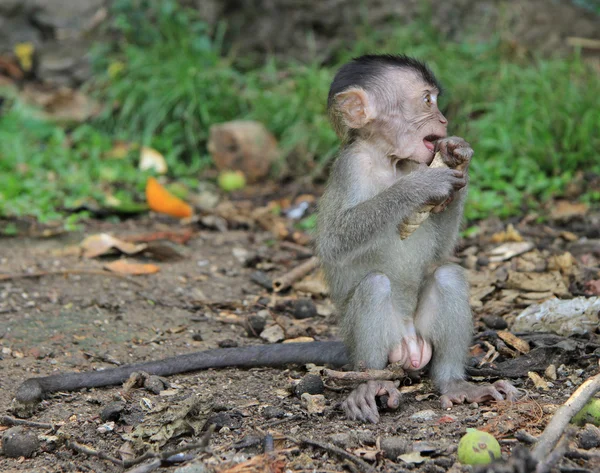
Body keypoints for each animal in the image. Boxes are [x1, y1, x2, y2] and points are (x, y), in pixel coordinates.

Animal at [316, 53, 516, 422]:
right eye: (426, 100)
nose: (444, 119)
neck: (388, 160)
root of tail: (409, 342)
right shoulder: (351, 167)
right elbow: (335, 242)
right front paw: (419, 187)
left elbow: (440, 251)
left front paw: (458, 157)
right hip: (371, 341)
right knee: (374, 286)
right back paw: (368, 385)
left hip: (423, 337)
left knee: (448, 275)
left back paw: (454, 383)